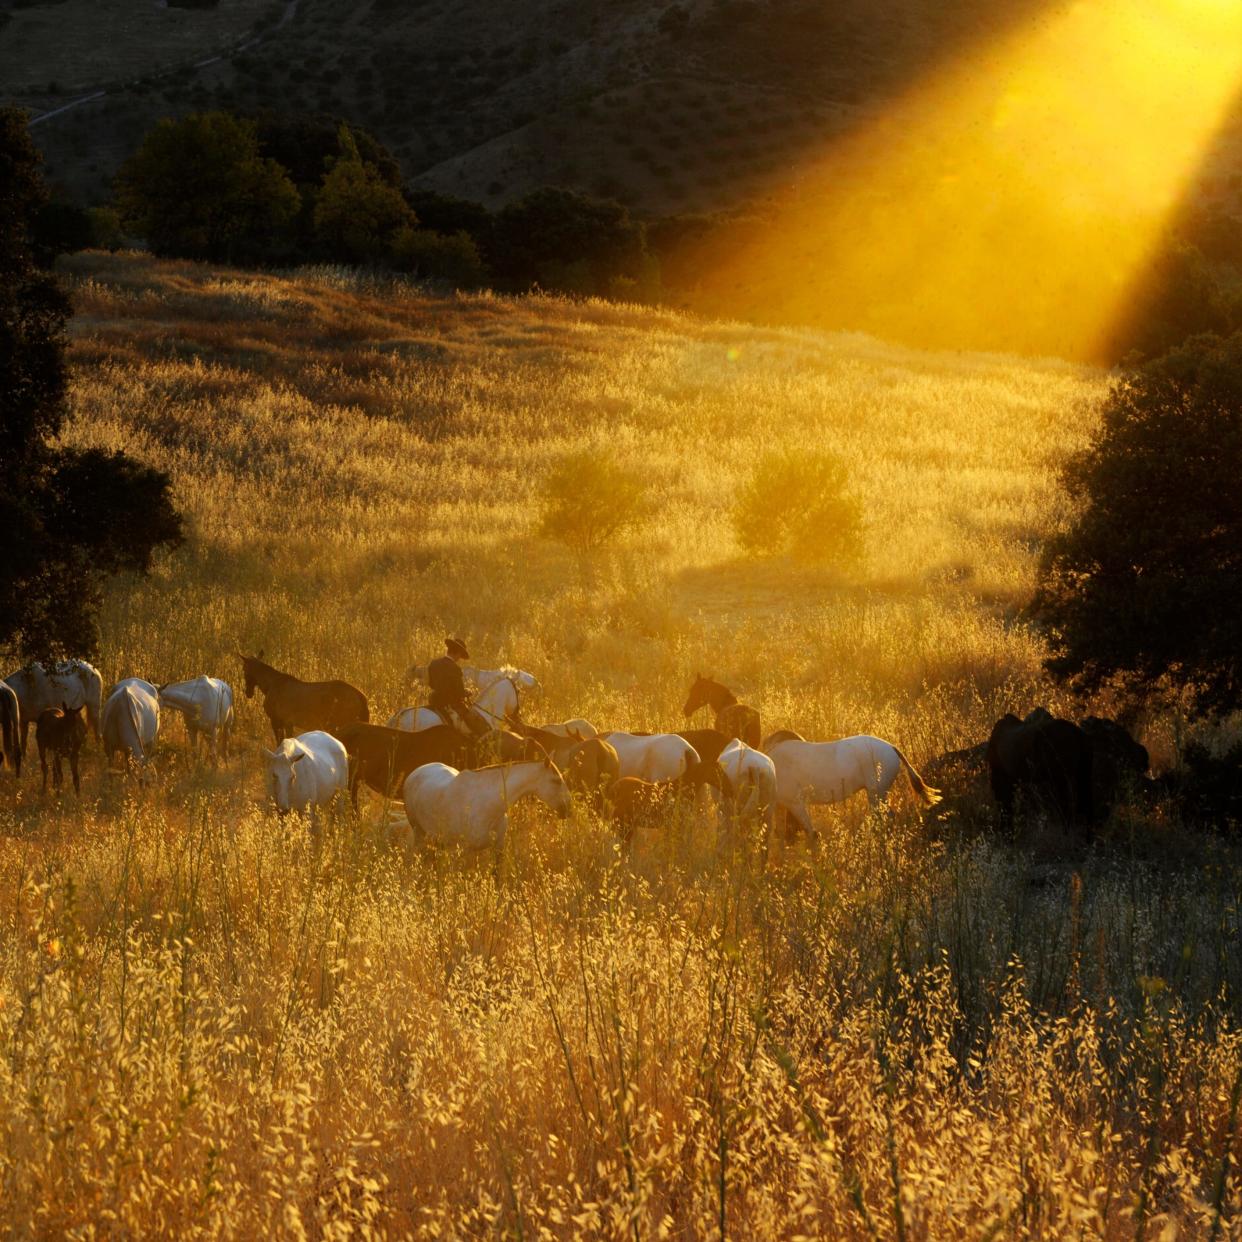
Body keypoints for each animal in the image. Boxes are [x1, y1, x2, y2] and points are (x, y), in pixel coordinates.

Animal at [234, 650, 365, 745]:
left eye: (244, 669)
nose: (248, 692)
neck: (269, 686)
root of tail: (360, 696)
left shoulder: (277, 721)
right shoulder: (288, 723)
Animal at [397, 750, 571, 859]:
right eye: (556, 780)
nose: (568, 809)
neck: (490, 805)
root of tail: (415, 772)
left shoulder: (498, 848)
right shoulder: (461, 851)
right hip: (419, 833)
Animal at [755, 725, 938, 834]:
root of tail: (891, 747)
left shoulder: (794, 803)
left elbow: (811, 834)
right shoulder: (782, 806)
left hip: (876, 794)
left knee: (887, 818)